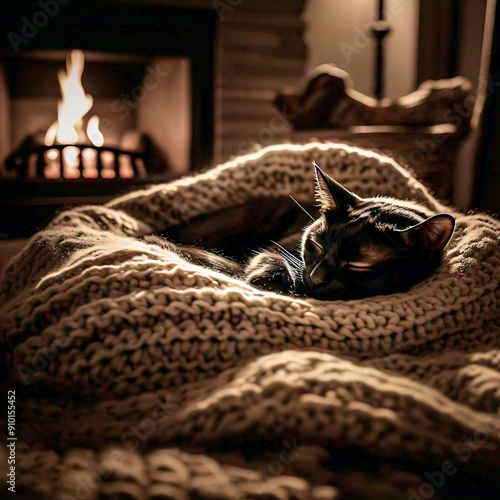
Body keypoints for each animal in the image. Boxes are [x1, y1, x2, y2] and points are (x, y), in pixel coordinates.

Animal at [146, 162, 456, 298]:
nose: (315, 278)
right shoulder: (277, 249)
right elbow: (270, 259)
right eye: (316, 244)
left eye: (358, 265)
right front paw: (270, 280)